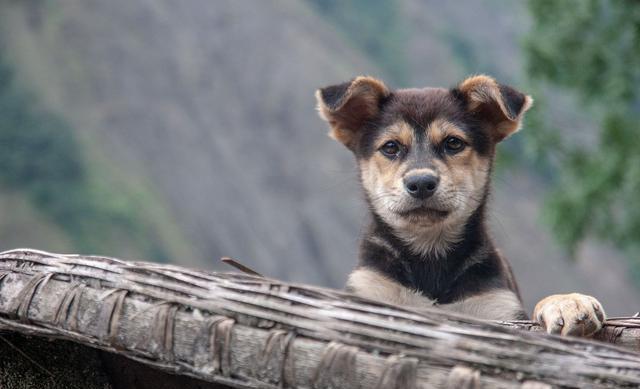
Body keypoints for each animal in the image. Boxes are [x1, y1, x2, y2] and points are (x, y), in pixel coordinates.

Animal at [318, 74, 608, 334]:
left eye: (453, 143)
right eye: (390, 147)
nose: (421, 183)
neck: (429, 256)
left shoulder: (496, 306)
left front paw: (568, 302)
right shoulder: (370, 291)